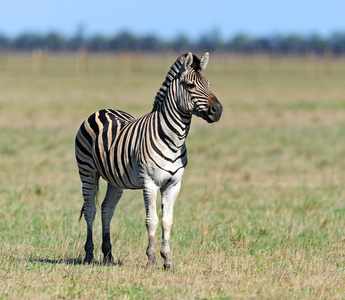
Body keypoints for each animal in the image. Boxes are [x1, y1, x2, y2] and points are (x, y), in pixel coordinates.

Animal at [74, 52, 222, 270]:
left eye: (208, 83)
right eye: (190, 86)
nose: (218, 110)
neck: (173, 139)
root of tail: (102, 110)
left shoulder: (174, 184)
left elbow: (167, 220)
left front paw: (168, 259)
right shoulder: (150, 182)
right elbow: (151, 220)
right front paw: (151, 259)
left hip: (115, 180)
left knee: (107, 209)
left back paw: (108, 254)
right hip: (87, 173)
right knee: (90, 210)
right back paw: (89, 254)